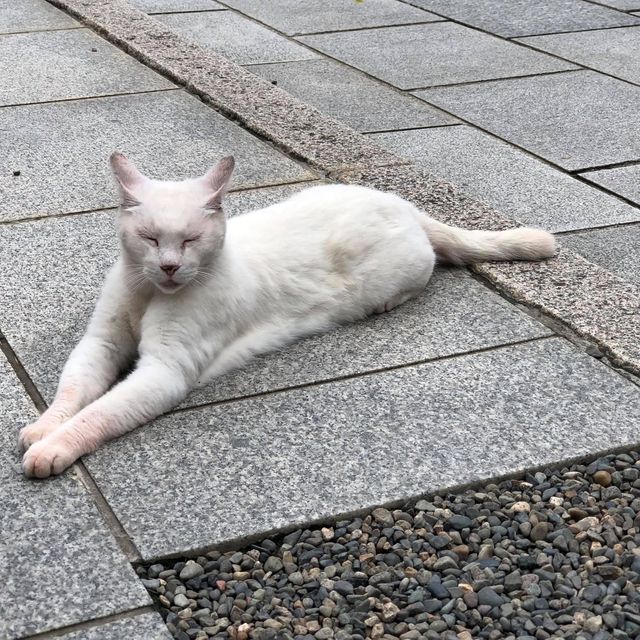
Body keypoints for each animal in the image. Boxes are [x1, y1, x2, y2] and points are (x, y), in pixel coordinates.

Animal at [20, 154, 556, 476]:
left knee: (424, 273)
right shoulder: (102, 342)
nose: (170, 266)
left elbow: (99, 414)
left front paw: (52, 448)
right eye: (150, 238)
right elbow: (73, 391)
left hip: (401, 270)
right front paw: (45, 427)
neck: (150, 293)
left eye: (190, 240)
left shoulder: (164, 370)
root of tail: (400, 201)